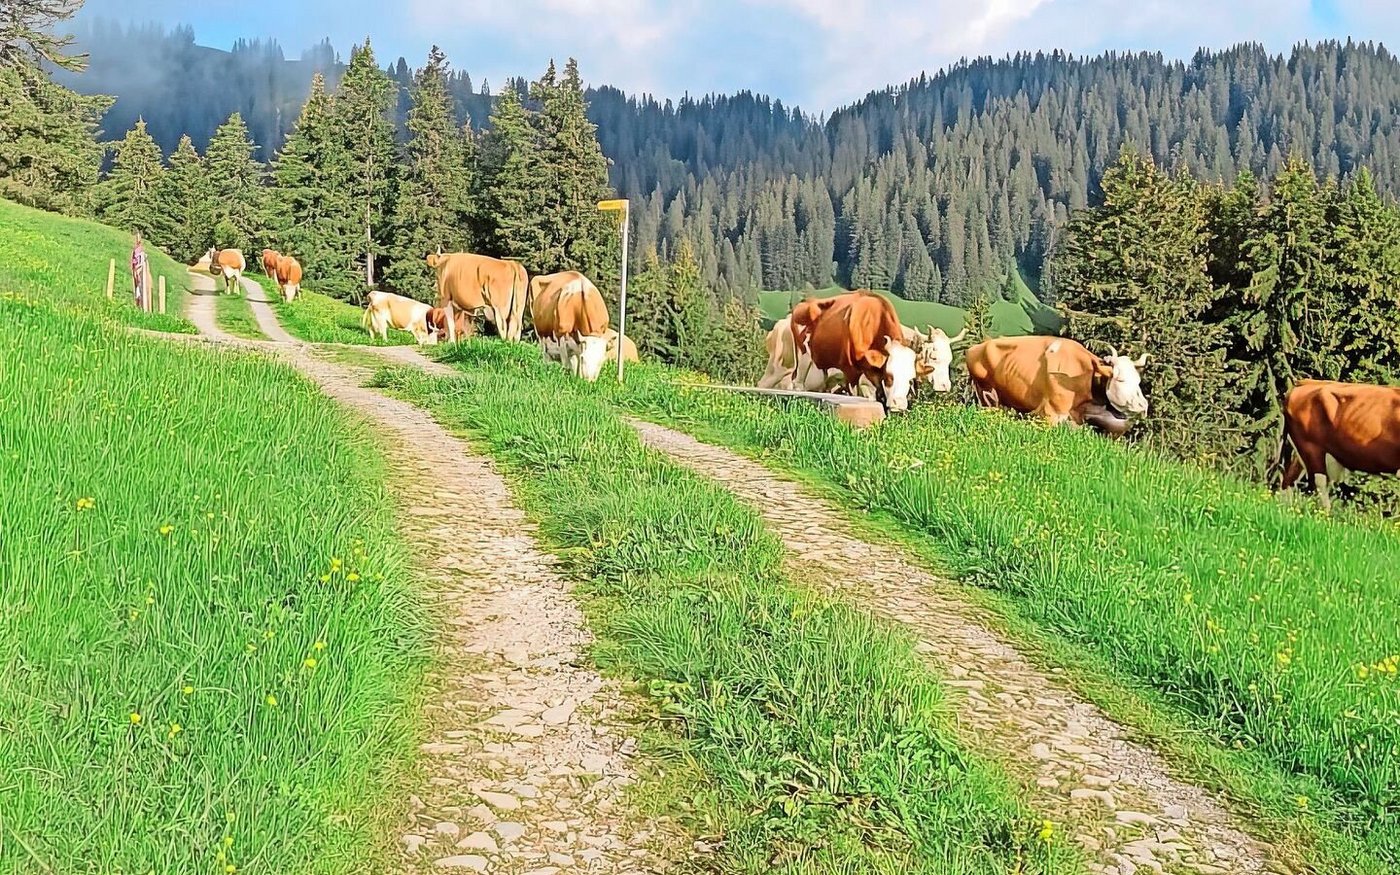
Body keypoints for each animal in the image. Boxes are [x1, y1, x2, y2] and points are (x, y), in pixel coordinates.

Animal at [965, 335, 1148, 433]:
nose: (1143, 406)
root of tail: (976, 347)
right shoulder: (1050, 412)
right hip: (987, 397)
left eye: (1138, 381)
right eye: (1120, 379)